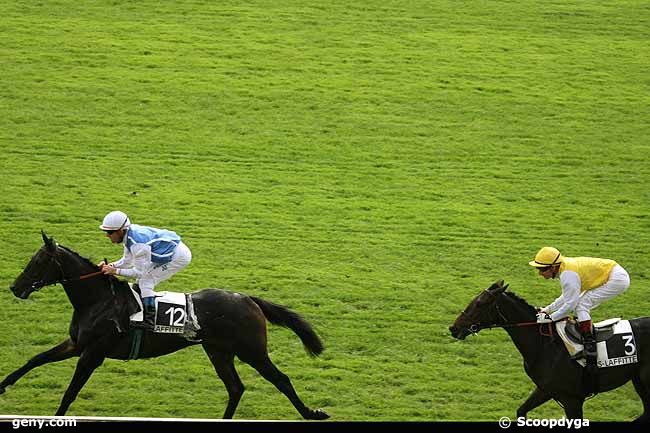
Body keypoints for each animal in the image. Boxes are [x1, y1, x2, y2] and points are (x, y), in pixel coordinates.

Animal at [1, 233, 330, 418]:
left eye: (38, 262)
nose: (16, 288)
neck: (98, 301)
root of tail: (247, 298)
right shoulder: (76, 344)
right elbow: (35, 359)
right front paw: (3, 385)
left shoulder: (93, 353)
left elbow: (70, 392)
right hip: (219, 351)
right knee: (236, 387)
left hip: (252, 350)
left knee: (280, 380)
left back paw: (313, 413)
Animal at [448, 278, 648, 420]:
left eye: (479, 303)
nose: (453, 328)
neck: (544, 345)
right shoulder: (546, 390)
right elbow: (521, 411)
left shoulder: (572, 399)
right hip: (639, 381)